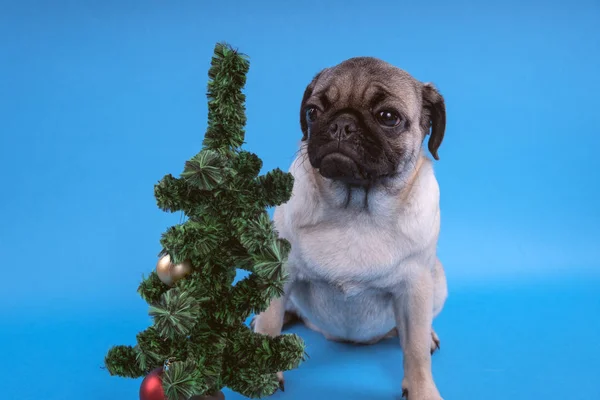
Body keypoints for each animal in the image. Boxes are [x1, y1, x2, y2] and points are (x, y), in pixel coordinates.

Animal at [252, 56, 446, 400]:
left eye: (388, 117)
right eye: (312, 112)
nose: (341, 124)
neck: (356, 211)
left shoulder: (416, 288)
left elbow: (416, 350)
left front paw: (423, 390)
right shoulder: (279, 270)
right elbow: (269, 322)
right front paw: (263, 370)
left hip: (438, 281)